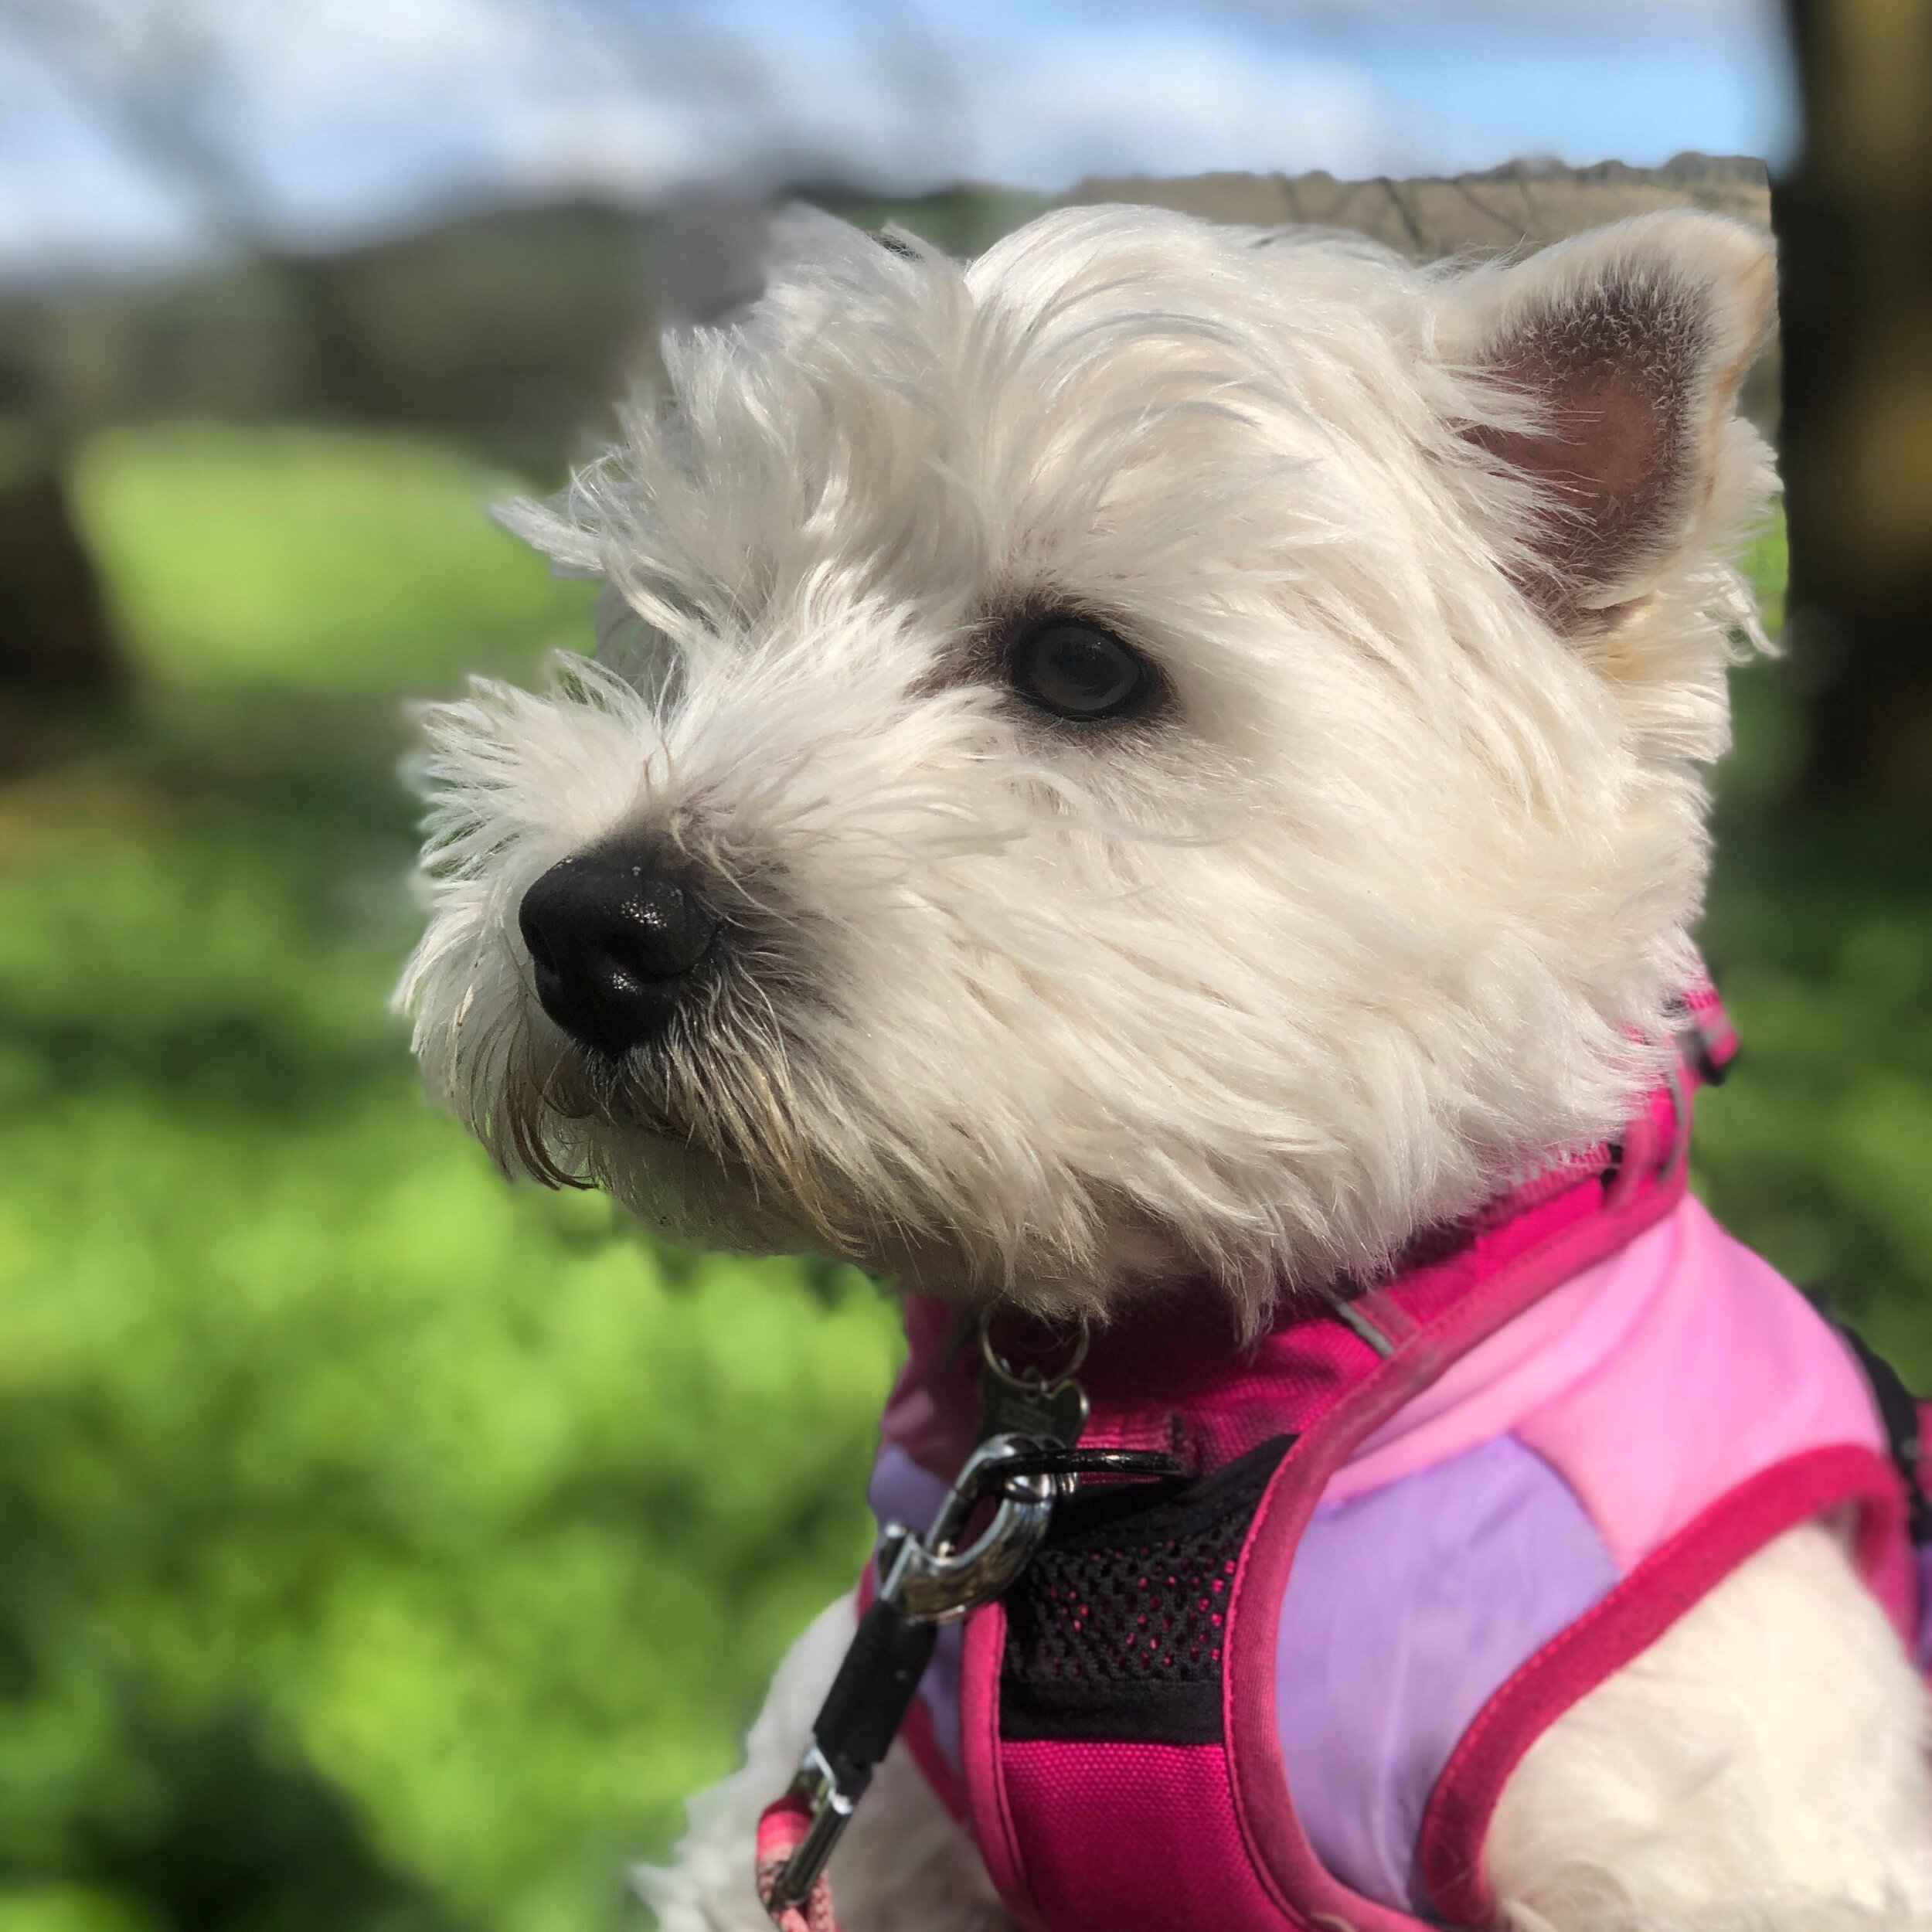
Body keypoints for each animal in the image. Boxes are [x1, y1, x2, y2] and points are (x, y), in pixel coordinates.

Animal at [403, 199, 1932, 1932]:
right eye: (686, 642)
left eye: (1081, 666)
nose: (591, 927)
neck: (1164, 1404)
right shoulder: (869, 1766)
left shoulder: (1720, 1819)